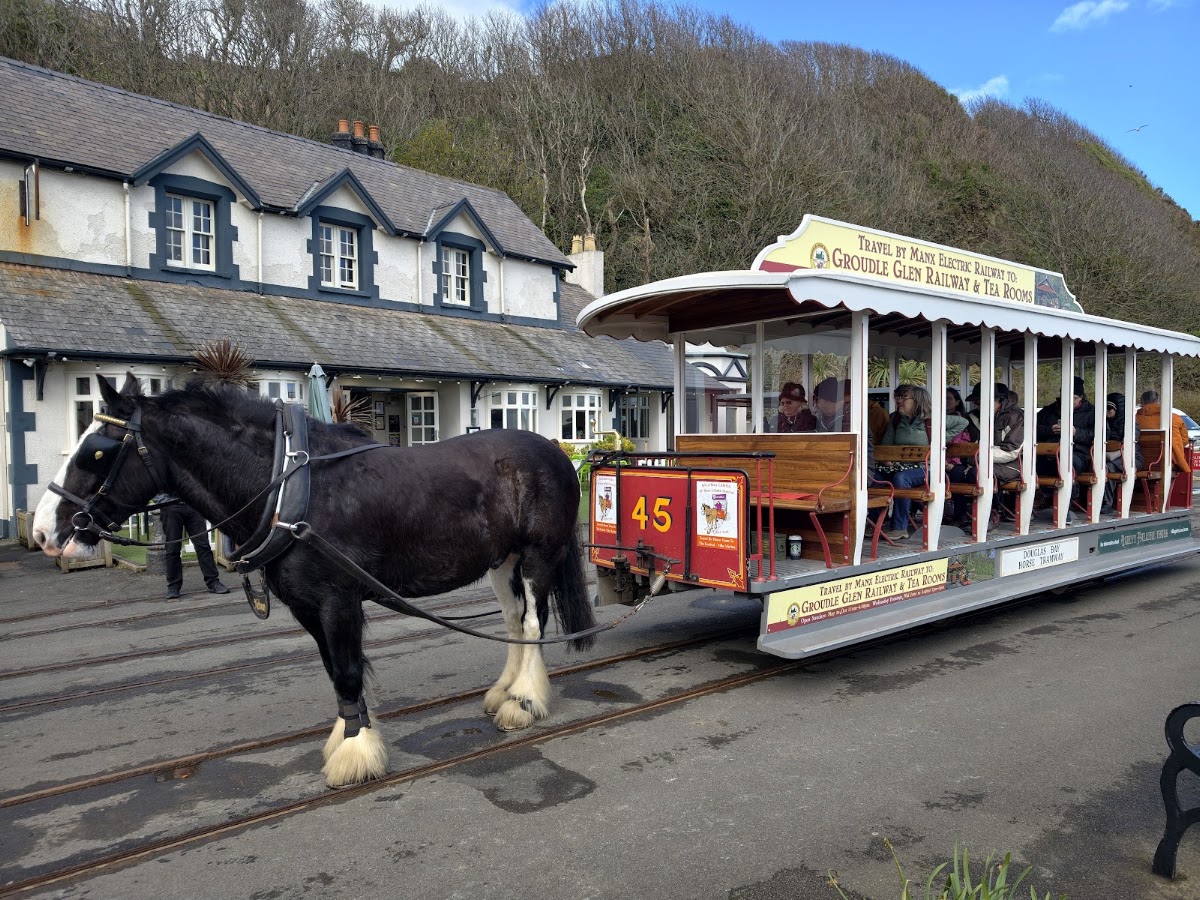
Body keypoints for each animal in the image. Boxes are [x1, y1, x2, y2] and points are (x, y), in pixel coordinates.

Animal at [31, 374, 595, 788]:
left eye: (97, 452)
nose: (43, 532)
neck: (291, 490)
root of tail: (556, 450)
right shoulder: (308, 606)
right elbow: (334, 672)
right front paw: (347, 736)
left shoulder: (337, 600)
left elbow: (346, 672)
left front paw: (355, 753)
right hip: (502, 562)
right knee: (514, 622)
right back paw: (505, 692)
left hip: (538, 556)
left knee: (533, 623)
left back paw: (524, 702)